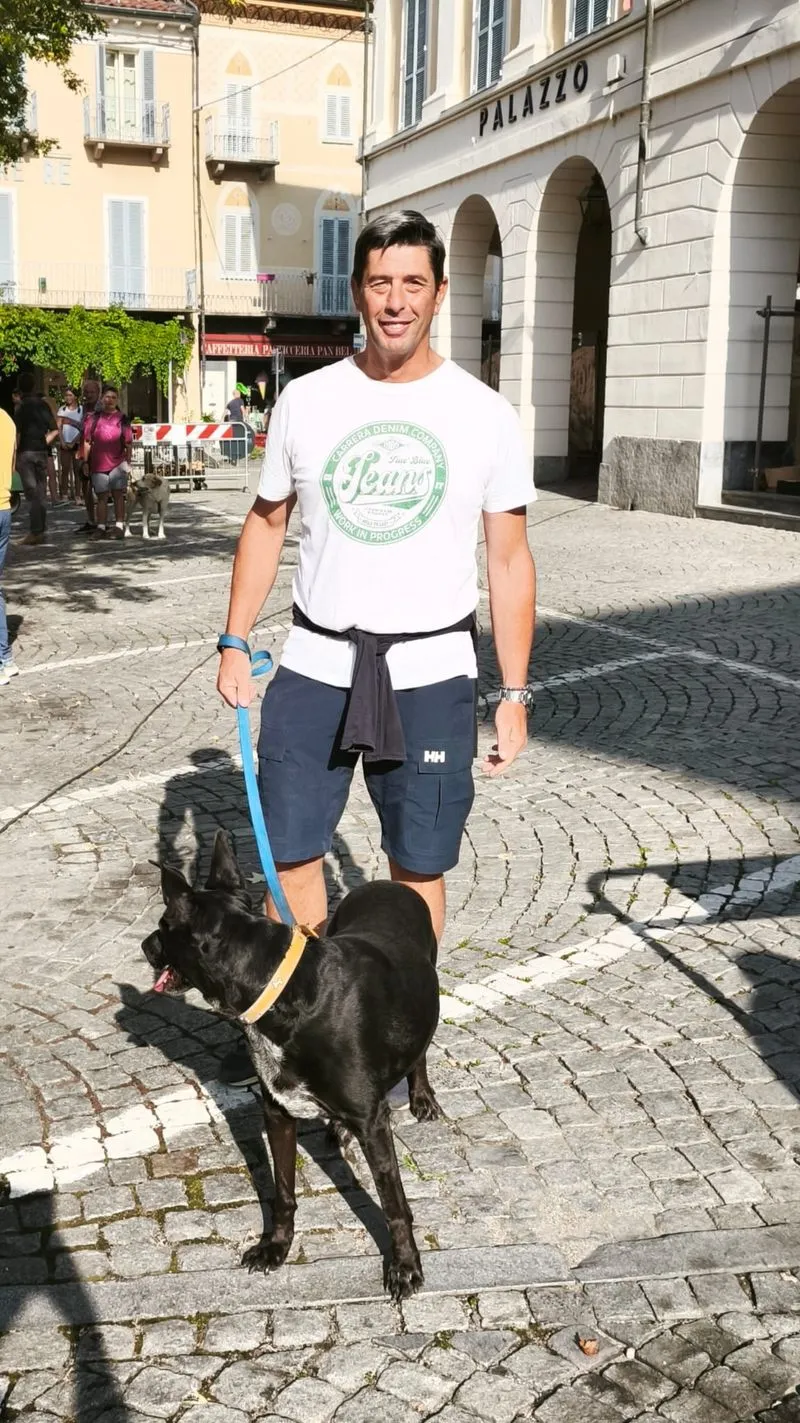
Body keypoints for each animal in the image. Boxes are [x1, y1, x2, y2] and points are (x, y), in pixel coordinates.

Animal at [142, 830, 442, 1299]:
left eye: (162, 926)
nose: (144, 946)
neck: (282, 992)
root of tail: (387, 884)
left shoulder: (373, 1122)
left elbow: (393, 1203)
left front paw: (406, 1266)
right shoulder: (277, 1112)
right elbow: (283, 1192)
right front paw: (276, 1247)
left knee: (421, 1048)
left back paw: (422, 1096)